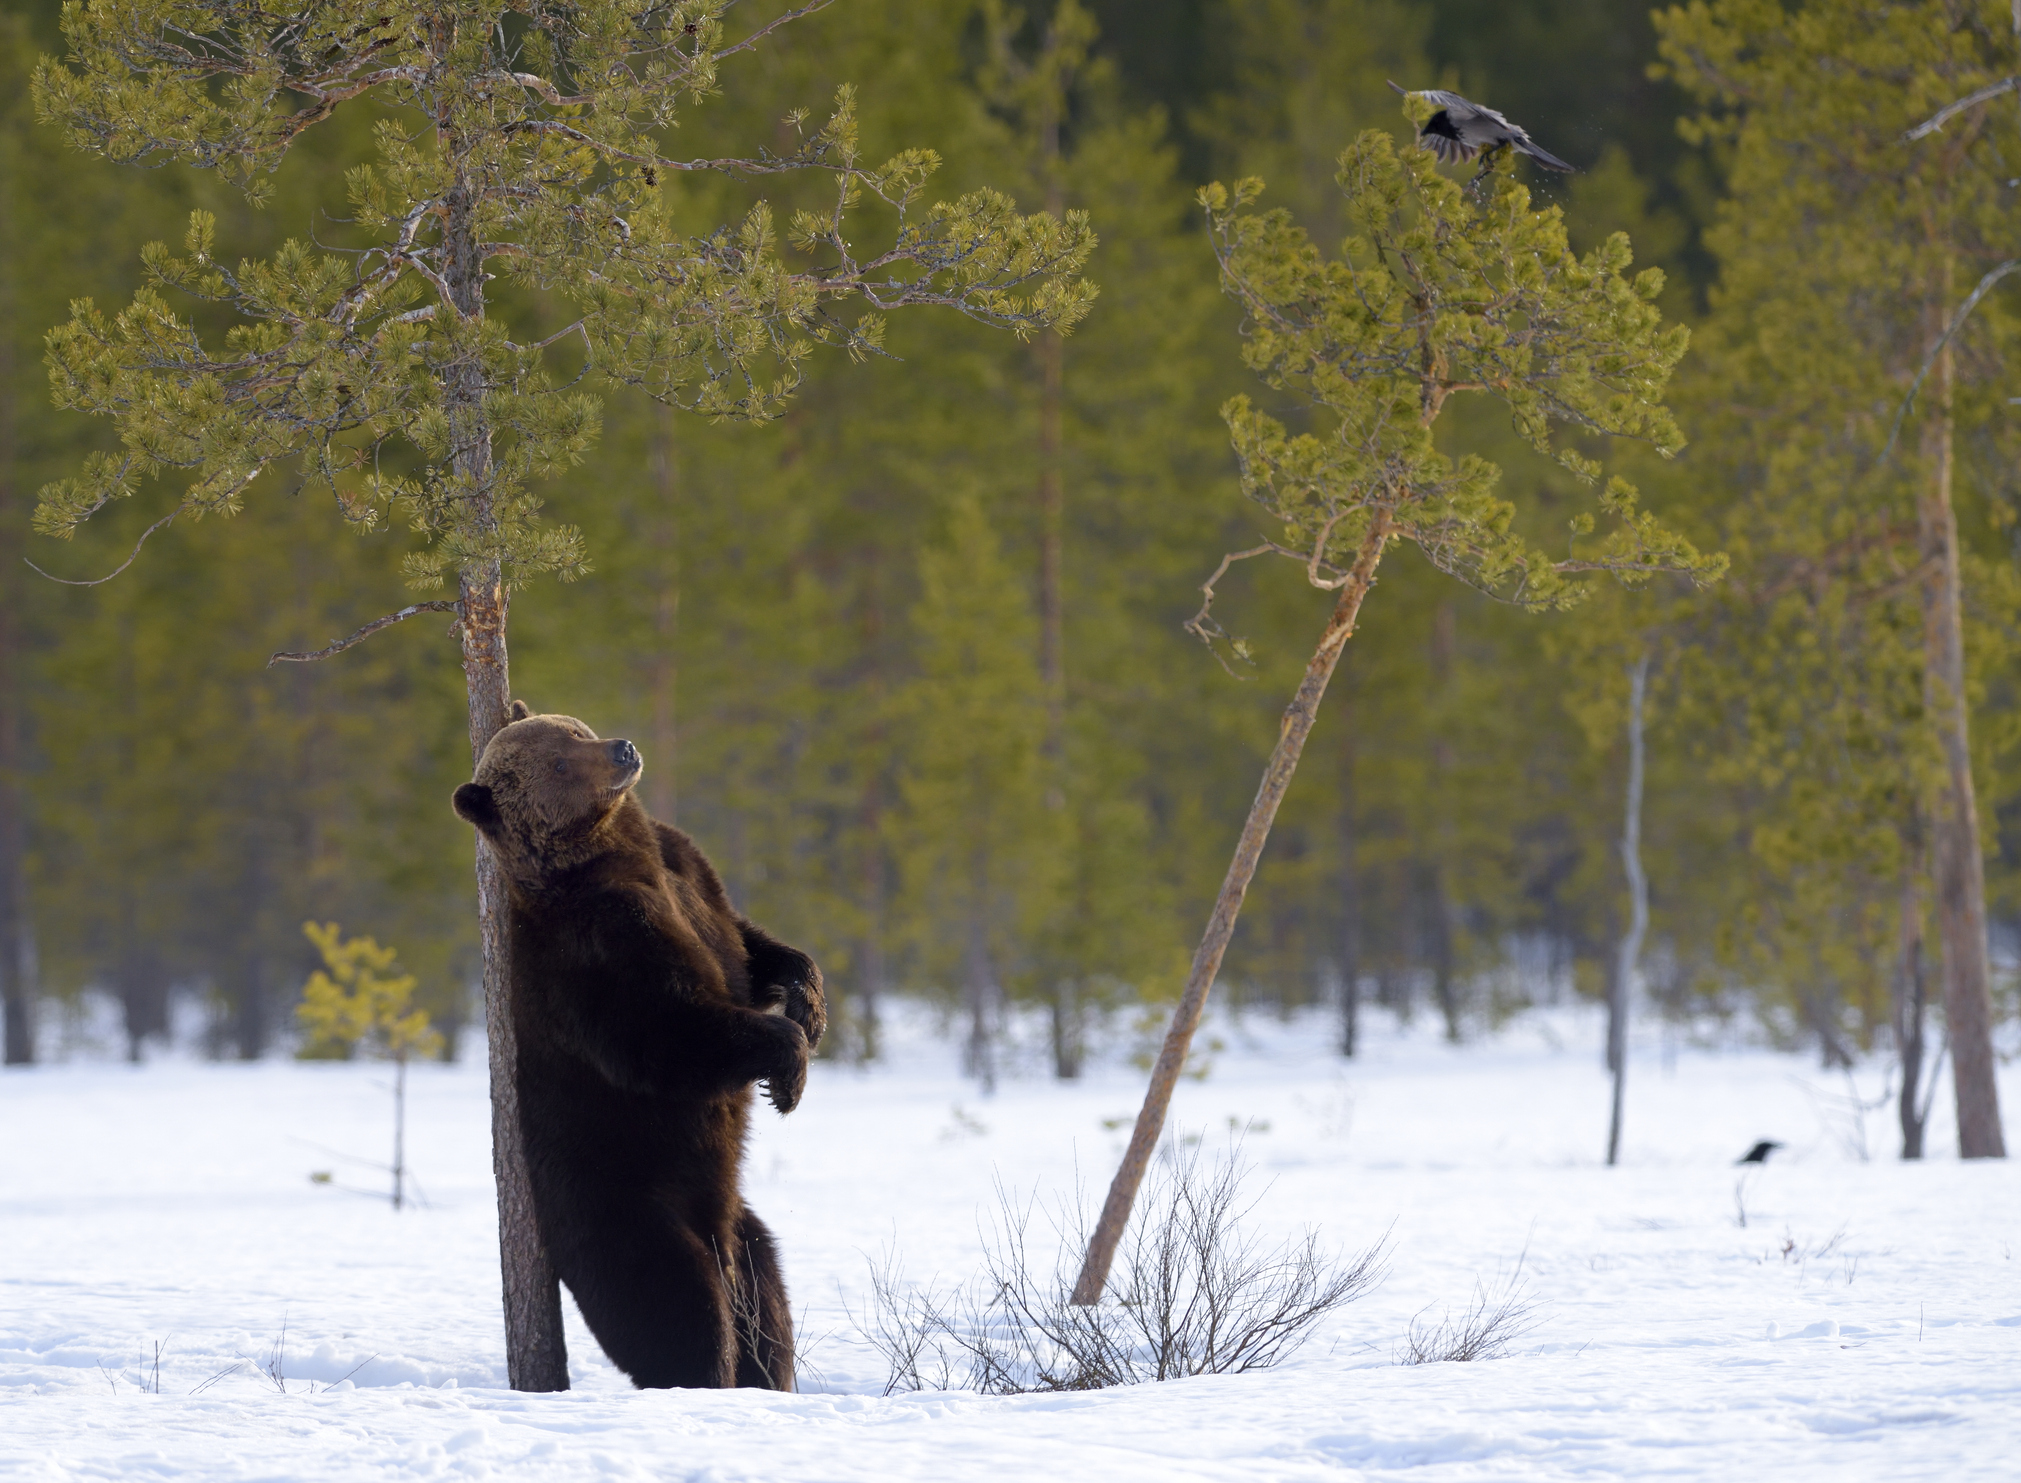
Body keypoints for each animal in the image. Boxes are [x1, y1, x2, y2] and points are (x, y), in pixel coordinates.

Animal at [450, 707, 820, 1390]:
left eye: (574, 727)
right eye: (558, 763)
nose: (621, 749)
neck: (615, 852)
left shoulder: (689, 873)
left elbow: (751, 949)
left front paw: (809, 1006)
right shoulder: (599, 945)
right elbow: (663, 1033)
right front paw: (787, 1071)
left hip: (746, 1235)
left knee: (768, 1312)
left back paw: (766, 1376)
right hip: (623, 1208)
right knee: (680, 1313)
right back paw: (707, 1374)